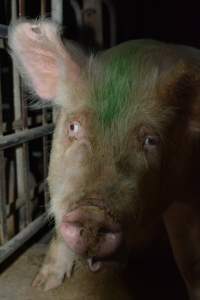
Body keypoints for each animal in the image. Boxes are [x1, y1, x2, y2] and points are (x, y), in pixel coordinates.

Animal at [9, 19, 200, 298]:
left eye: (151, 140)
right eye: (74, 127)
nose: (93, 214)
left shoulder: (185, 194)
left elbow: (188, 257)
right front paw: (43, 285)